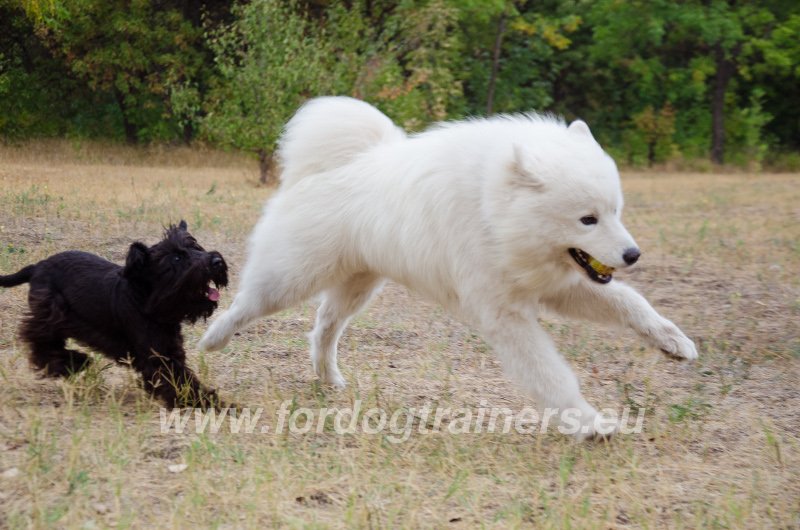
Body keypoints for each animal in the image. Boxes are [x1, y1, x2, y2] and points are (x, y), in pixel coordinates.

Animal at [0, 221, 231, 406]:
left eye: (195, 246)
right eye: (176, 258)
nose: (217, 262)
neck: (145, 300)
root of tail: (36, 267)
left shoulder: (168, 349)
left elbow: (182, 377)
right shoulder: (158, 357)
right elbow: (178, 381)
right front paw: (206, 403)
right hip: (51, 313)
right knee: (37, 338)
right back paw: (75, 362)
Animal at [202, 97, 700, 440]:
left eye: (616, 211)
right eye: (587, 219)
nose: (633, 254)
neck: (493, 211)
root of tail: (332, 166)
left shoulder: (557, 287)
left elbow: (630, 303)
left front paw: (672, 341)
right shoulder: (506, 315)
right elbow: (551, 375)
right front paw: (587, 422)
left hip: (358, 287)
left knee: (323, 327)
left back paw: (329, 378)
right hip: (291, 279)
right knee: (248, 304)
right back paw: (213, 338)